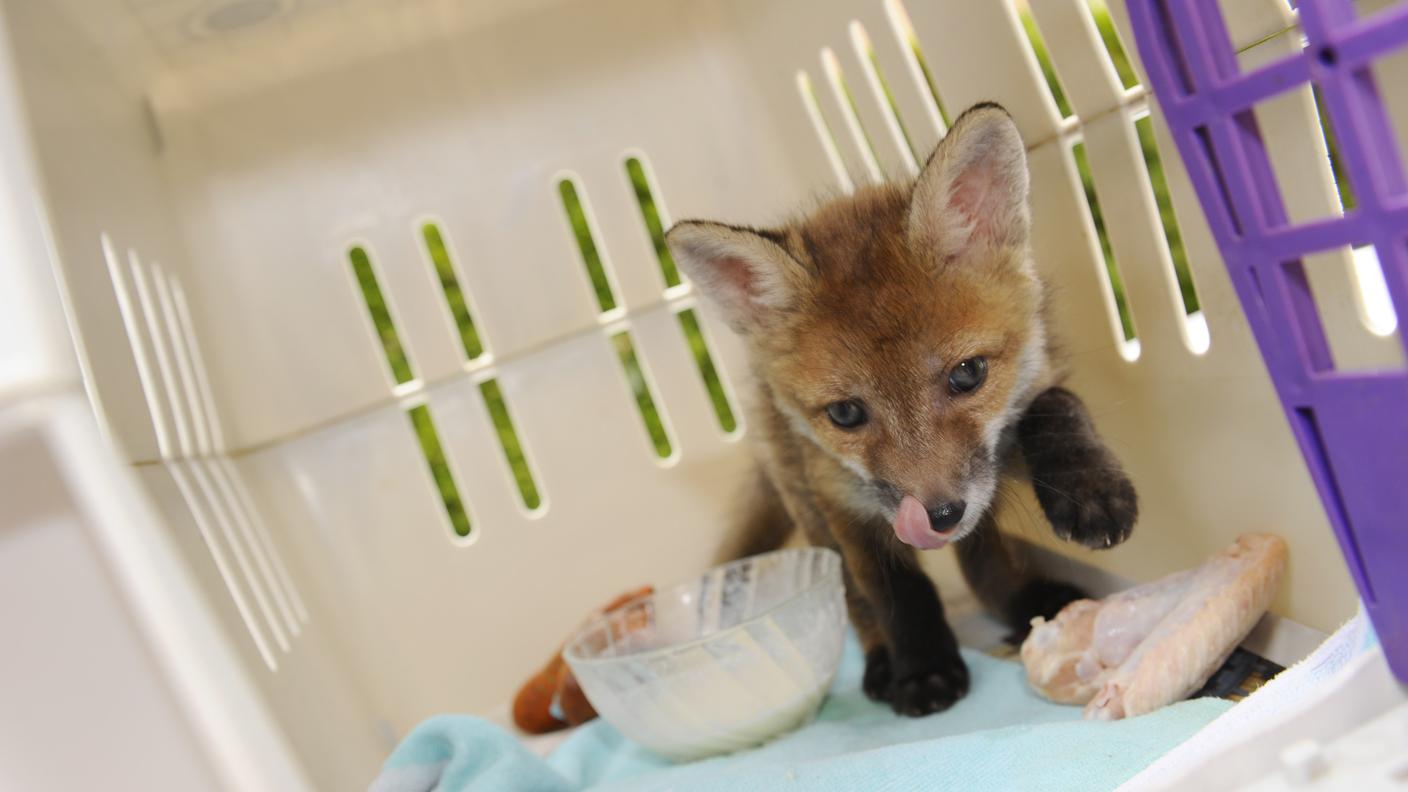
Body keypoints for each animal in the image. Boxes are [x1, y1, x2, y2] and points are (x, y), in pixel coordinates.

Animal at [663, 103, 1138, 717]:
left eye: (968, 374)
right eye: (845, 414)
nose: (940, 516)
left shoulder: (1033, 385)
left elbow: (1059, 405)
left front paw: (1092, 491)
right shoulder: (843, 501)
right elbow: (896, 594)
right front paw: (923, 669)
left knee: (982, 560)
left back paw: (1022, 600)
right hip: (806, 506)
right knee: (854, 599)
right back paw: (883, 662)